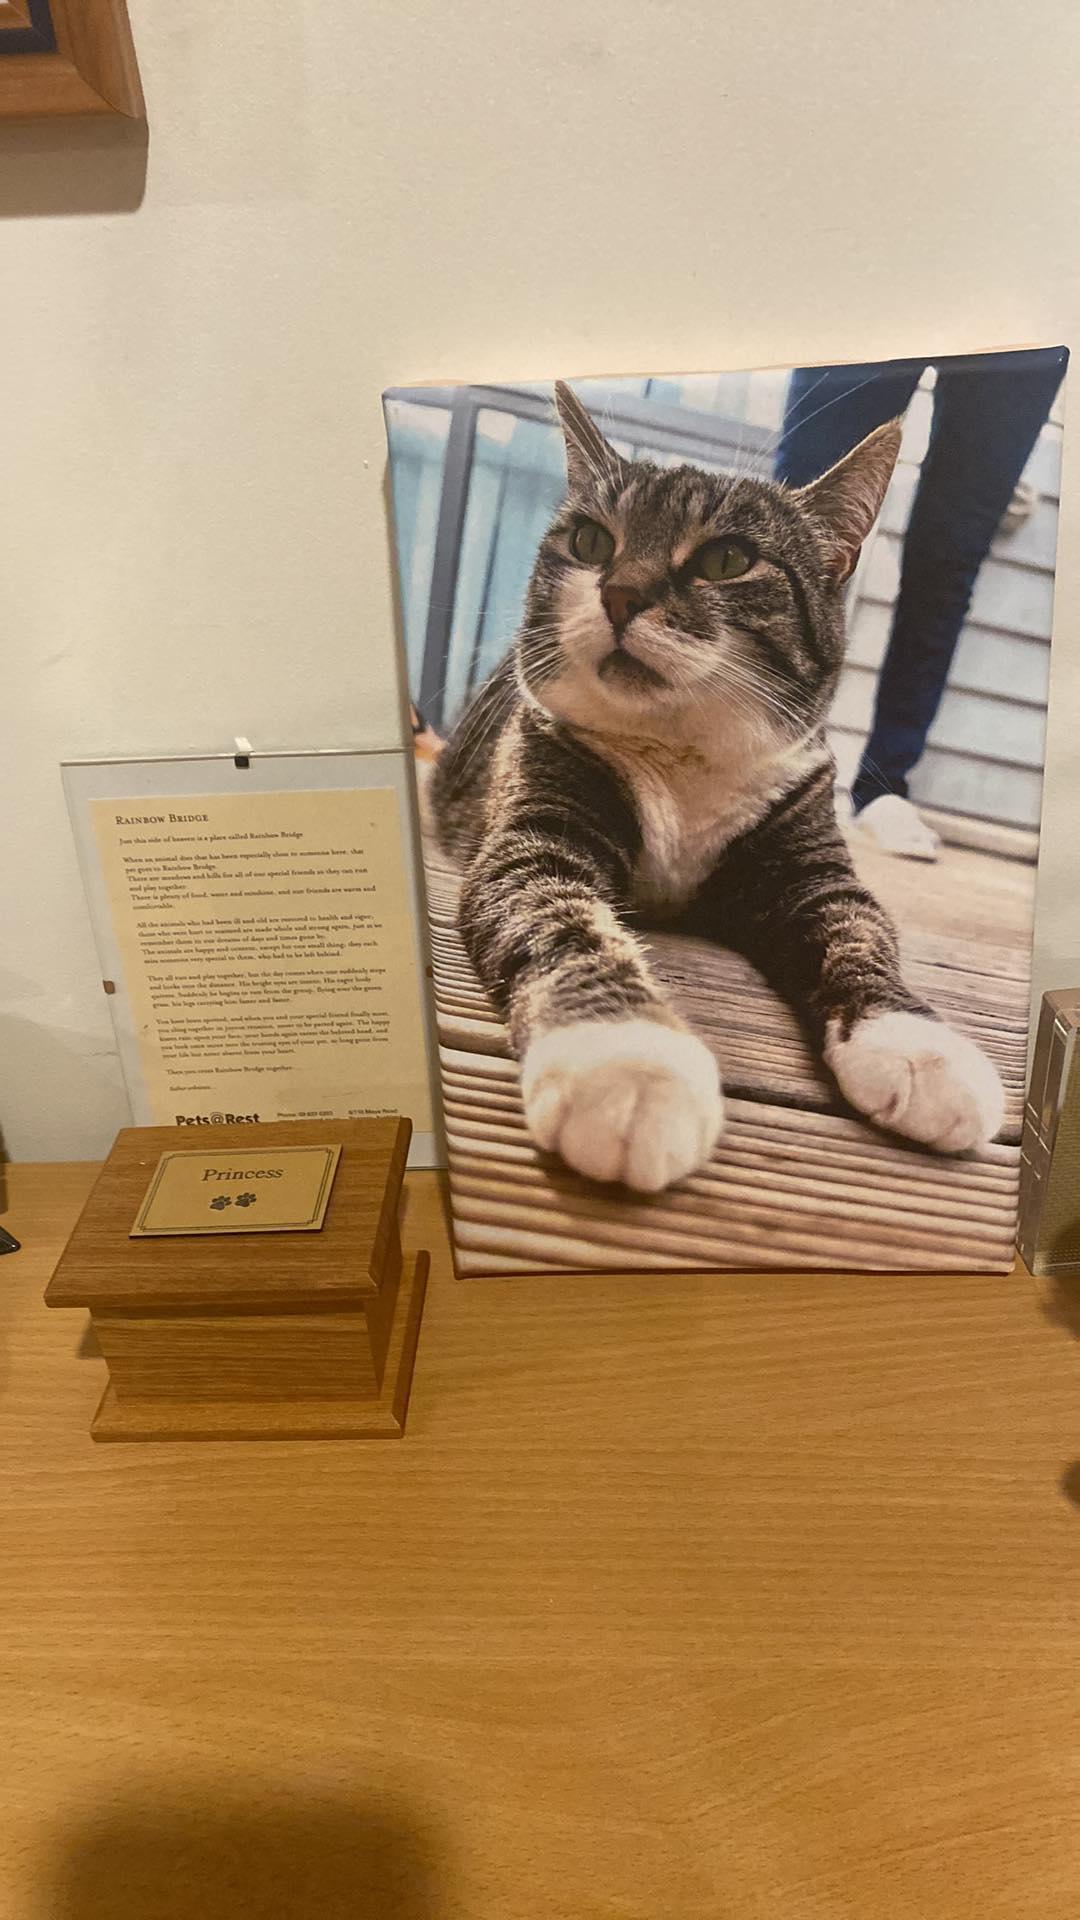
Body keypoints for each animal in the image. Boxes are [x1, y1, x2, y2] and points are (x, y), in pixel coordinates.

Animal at [430, 381, 1004, 1193]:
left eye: (728, 558)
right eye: (591, 543)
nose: (620, 593)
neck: (680, 755)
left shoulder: (813, 866)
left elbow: (859, 933)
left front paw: (919, 1046)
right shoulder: (537, 833)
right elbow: (565, 919)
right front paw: (627, 1062)